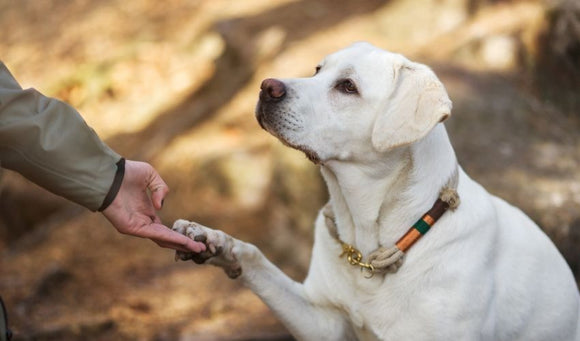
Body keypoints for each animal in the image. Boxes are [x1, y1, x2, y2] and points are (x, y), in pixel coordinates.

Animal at [173, 42, 580, 340]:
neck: (371, 241)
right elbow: (255, 258)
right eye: (318, 70)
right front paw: (213, 241)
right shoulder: (322, 321)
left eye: (347, 87)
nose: (265, 86)